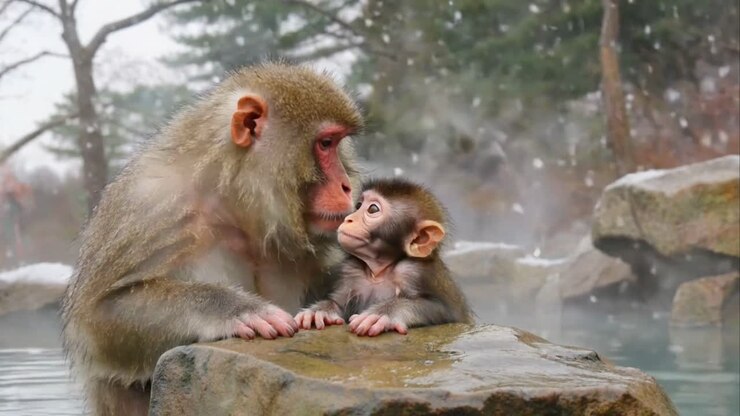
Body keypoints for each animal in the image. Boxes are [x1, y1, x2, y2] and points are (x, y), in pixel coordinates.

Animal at [61, 63, 364, 416]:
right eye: (325, 143)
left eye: (338, 143)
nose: (346, 185)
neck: (232, 202)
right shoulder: (149, 204)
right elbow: (97, 318)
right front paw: (235, 310)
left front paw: (326, 309)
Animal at [294, 178, 473, 337]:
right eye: (358, 206)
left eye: (373, 209)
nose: (348, 219)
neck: (379, 271)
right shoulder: (351, 271)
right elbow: (339, 304)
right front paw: (320, 311)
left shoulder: (415, 271)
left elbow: (443, 311)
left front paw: (382, 314)